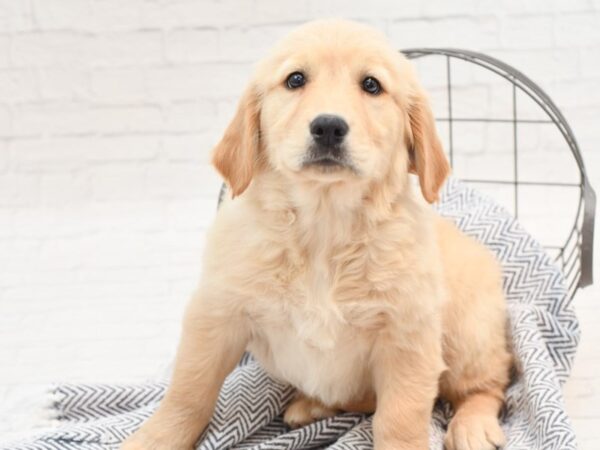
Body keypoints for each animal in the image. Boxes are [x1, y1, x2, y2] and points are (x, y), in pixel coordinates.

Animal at [122, 18, 510, 450]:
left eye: (371, 85)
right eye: (295, 79)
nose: (328, 126)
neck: (324, 230)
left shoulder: (408, 335)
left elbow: (400, 418)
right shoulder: (217, 312)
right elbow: (189, 389)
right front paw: (154, 437)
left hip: (468, 331)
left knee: (490, 384)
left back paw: (472, 425)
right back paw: (313, 406)